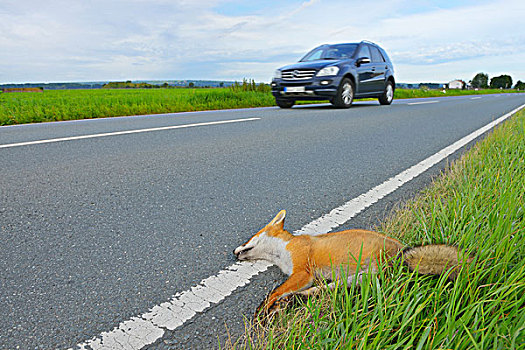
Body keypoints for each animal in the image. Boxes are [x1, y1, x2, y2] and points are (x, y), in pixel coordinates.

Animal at [233, 209, 470, 314]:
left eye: (249, 239)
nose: (235, 253)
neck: (283, 251)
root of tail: (402, 252)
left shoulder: (302, 272)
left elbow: (273, 292)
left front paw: (262, 311)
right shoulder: (303, 277)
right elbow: (279, 291)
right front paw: (269, 308)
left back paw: (287, 303)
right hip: (355, 279)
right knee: (316, 292)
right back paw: (293, 302)